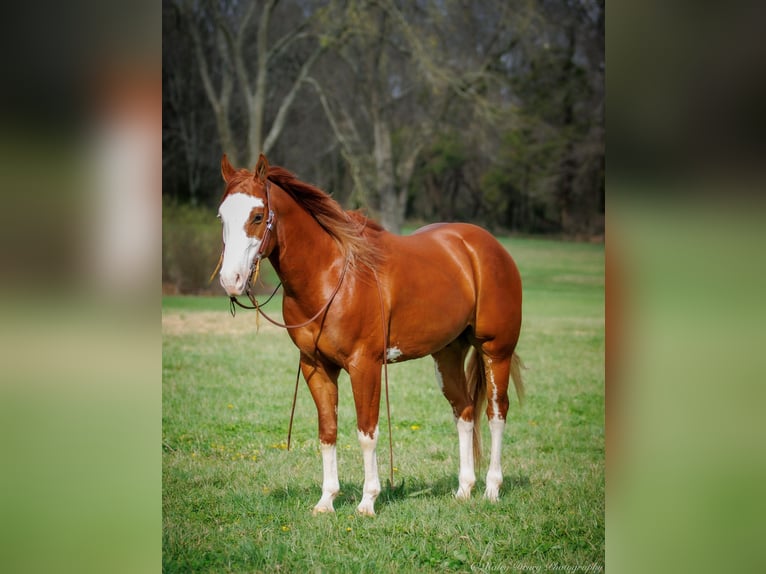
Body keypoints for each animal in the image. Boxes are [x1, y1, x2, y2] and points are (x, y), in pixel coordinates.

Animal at [219, 153, 524, 516]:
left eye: (257, 215)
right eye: (222, 216)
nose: (231, 280)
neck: (331, 274)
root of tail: (486, 246)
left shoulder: (364, 366)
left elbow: (367, 433)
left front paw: (368, 500)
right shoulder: (316, 367)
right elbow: (328, 432)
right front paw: (326, 500)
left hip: (496, 351)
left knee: (496, 414)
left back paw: (492, 489)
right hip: (447, 353)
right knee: (463, 412)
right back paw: (464, 489)